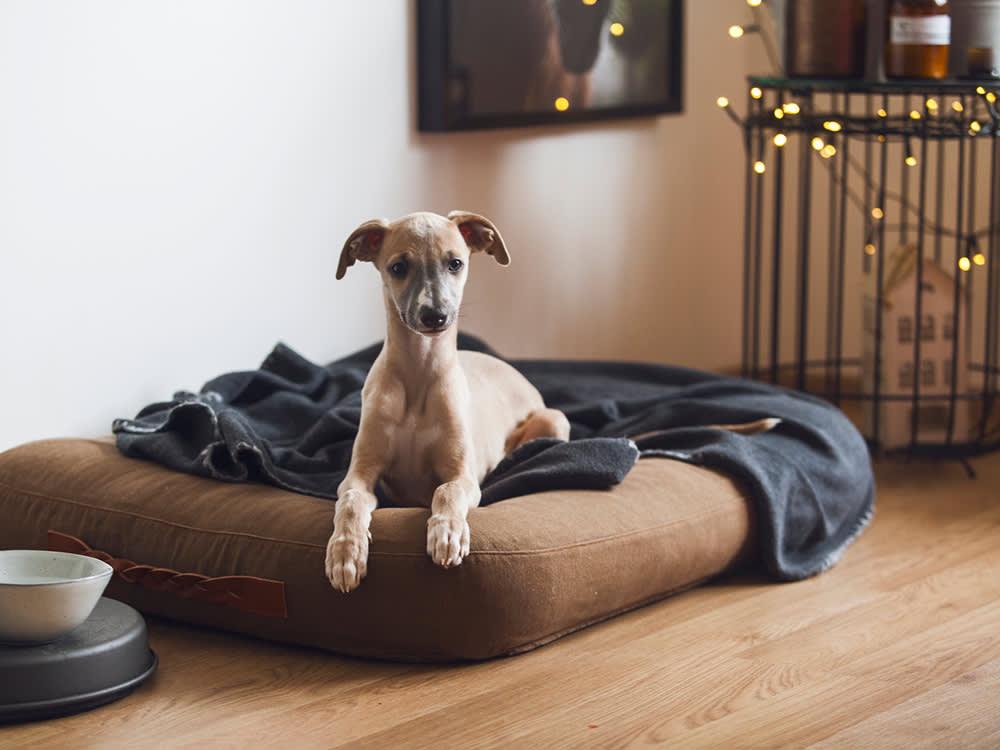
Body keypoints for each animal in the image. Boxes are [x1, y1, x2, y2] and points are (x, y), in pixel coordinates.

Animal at [328, 210, 572, 592]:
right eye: (398, 267)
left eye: (455, 263)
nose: (435, 316)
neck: (419, 377)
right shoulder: (358, 476)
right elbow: (351, 501)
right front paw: (345, 554)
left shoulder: (463, 477)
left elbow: (447, 491)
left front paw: (447, 534)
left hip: (553, 419)